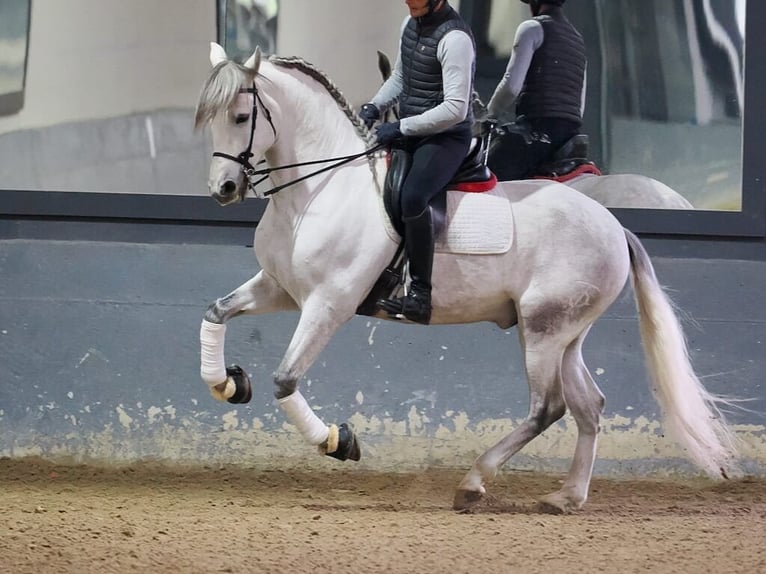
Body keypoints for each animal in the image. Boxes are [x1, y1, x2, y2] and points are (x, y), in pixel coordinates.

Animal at [194, 44, 736, 512]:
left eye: (240, 117)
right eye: (209, 120)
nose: (224, 188)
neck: (320, 188)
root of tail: (614, 225)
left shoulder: (329, 304)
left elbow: (285, 380)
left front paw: (338, 441)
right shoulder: (280, 288)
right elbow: (215, 312)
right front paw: (227, 384)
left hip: (544, 328)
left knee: (548, 407)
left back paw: (474, 483)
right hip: (563, 333)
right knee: (590, 406)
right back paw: (565, 497)